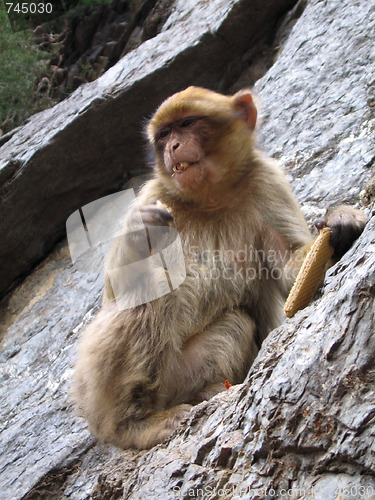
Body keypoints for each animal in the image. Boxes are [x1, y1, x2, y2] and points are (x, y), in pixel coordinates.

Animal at [71, 85, 368, 450]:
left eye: (186, 123)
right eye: (164, 134)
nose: (172, 147)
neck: (211, 197)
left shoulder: (267, 181)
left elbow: (290, 275)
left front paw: (342, 224)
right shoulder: (154, 193)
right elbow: (113, 292)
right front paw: (140, 232)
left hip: (180, 379)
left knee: (234, 324)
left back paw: (207, 392)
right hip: (114, 388)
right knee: (152, 289)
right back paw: (132, 424)